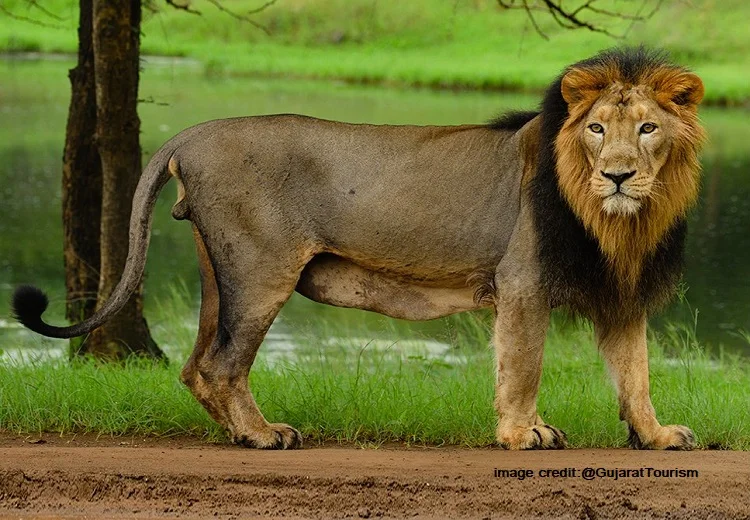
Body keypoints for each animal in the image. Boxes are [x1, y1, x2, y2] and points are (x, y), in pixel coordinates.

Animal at [12, 47, 705, 450]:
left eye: (648, 128)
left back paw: (240, 435)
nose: (618, 174)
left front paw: (656, 435)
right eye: (597, 130)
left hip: (219, 270)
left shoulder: (622, 295)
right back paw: (263, 436)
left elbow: (636, 373)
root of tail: (191, 133)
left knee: (195, 364)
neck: (618, 223)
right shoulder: (522, 282)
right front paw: (521, 434)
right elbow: (523, 367)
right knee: (222, 364)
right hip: (261, 271)